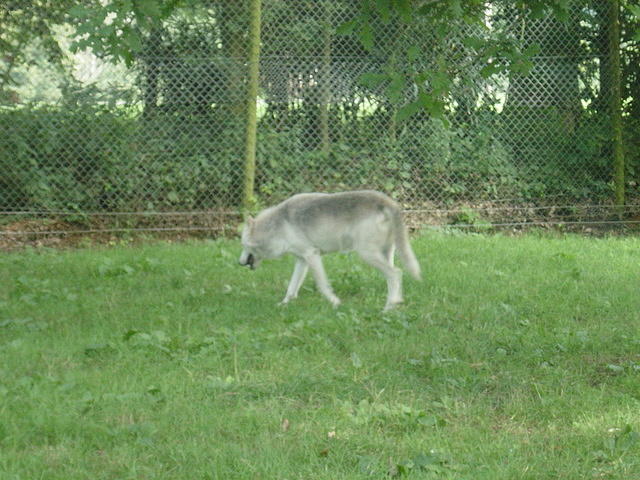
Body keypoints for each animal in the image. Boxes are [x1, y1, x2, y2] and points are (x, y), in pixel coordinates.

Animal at [238, 191, 422, 312]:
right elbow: (291, 288)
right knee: (393, 277)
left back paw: (388, 308)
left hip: (367, 254)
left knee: (396, 273)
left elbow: (322, 286)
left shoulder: (312, 256)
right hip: (384, 254)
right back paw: (396, 304)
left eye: (242, 244)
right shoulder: (302, 260)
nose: (238, 263)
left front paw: (335, 303)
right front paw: (283, 305)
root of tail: (387, 201)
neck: (277, 227)